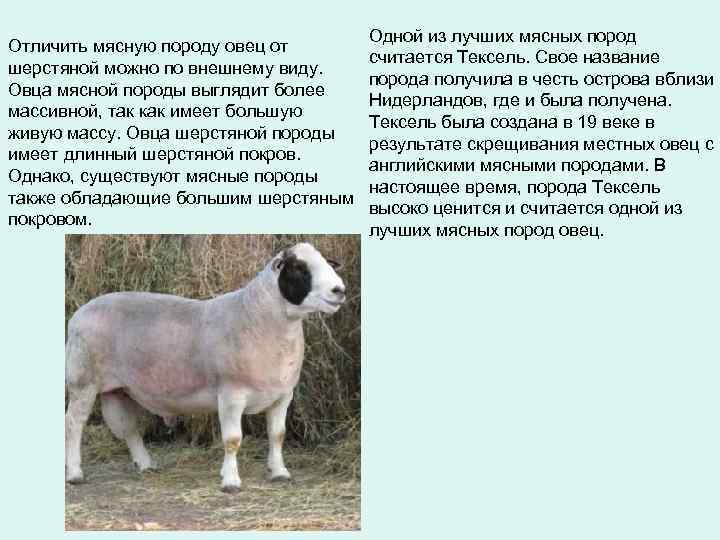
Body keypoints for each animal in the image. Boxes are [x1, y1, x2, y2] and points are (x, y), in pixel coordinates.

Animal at [65, 242, 346, 492]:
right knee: (74, 424)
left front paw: (279, 473)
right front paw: (231, 482)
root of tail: (81, 311)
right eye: (298, 268)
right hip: (83, 381)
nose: (339, 290)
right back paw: (75, 473)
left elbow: (278, 434)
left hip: (118, 389)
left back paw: (146, 465)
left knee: (129, 428)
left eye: (326, 262)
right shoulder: (231, 394)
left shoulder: (283, 395)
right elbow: (232, 440)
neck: (257, 316)